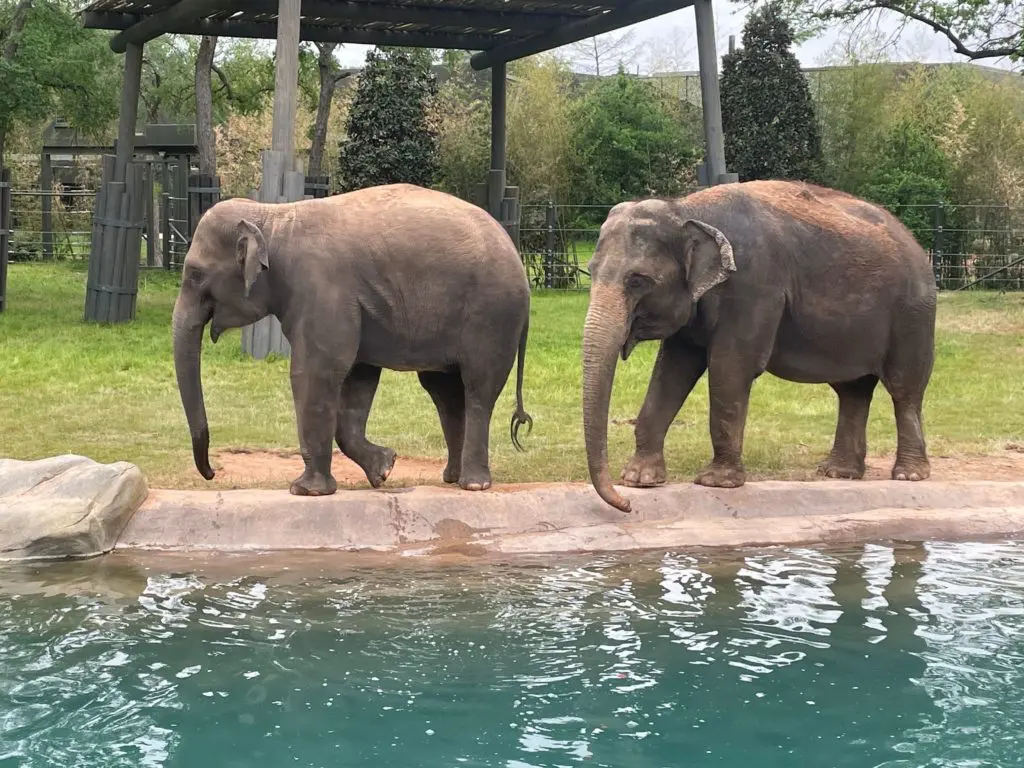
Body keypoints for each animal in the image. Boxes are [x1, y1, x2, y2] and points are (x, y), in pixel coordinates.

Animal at [172, 183, 533, 497]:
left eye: (195, 275)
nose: (211, 473)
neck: (272, 217)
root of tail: (517, 257)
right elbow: (358, 379)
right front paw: (384, 469)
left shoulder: (321, 289)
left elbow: (315, 372)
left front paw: (305, 491)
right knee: (445, 392)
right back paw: (451, 478)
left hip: (492, 315)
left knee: (477, 388)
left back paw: (474, 484)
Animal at [582, 180, 937, 513]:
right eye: (590, 271)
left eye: (638, 280)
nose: (626, 505)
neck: (686, 209)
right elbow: (672, 372)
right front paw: (639, 479)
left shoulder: (754, 286)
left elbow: (729, 367)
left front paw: (717, 482)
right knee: (853, 390)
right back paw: (839, 473)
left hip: (912, 316)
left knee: (904, 390)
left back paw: (908, 475)